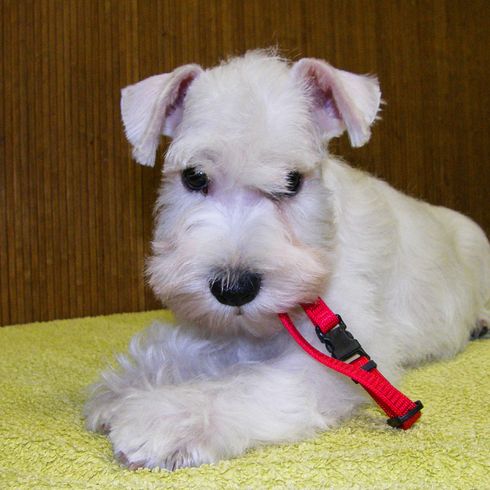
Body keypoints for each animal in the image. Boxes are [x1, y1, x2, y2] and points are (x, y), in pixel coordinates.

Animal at [85, 50, 490, 470]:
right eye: (194, 177)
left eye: (293, 181)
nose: (234, 289)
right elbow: (176, 349)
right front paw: (124, 390)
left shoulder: (329, 362)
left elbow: (242, 385)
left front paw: (165, 419)